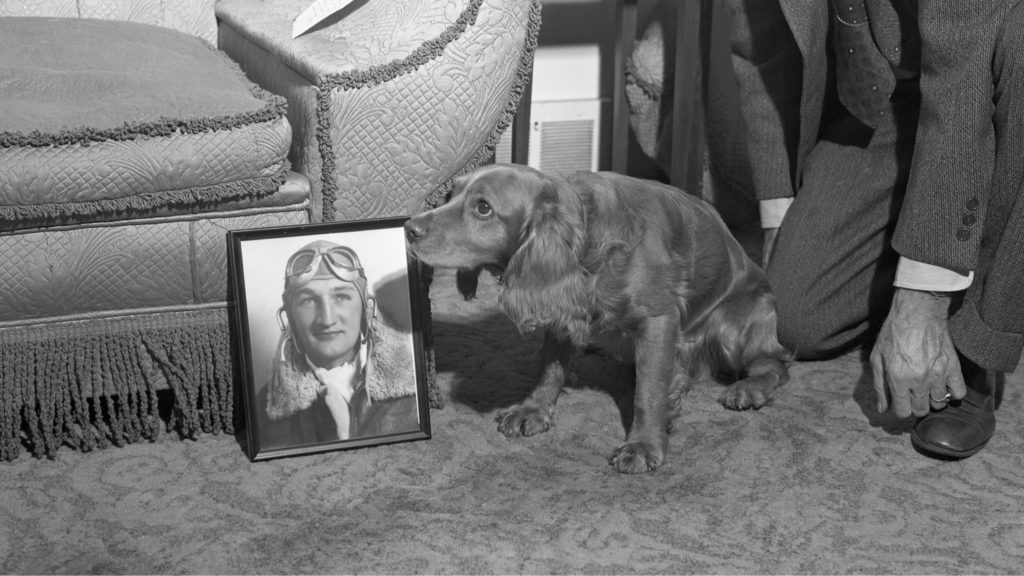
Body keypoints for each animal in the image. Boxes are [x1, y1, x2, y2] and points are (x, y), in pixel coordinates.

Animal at [403, 162, 786, 471]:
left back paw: (747, 389)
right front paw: (534, 409)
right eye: (451, 193)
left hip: (732, 327)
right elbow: (550, 368)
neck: (588, 241)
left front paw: (644, 444)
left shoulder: (659, 319)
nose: (408, 228)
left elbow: (648, 391)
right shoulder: (560, 305)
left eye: (483, 208)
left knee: (776, 363)